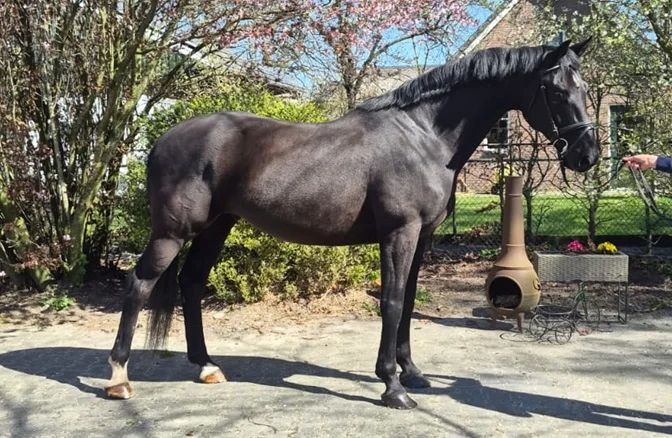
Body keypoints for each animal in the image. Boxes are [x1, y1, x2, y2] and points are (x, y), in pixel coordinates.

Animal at [106, 39, 598, 409]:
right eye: (555, 90)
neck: (424, 137)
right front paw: (393, 387)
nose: (586, 155)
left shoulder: (422, 237)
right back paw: (119, 379)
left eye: (584, 86)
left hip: (216, 226)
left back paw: (207, 366)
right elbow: (393, 303)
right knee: (139, 285)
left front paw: (413, 374)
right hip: (173, 232)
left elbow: (409, 302)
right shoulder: (399, 232)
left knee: (190, 283)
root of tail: (161, 140)